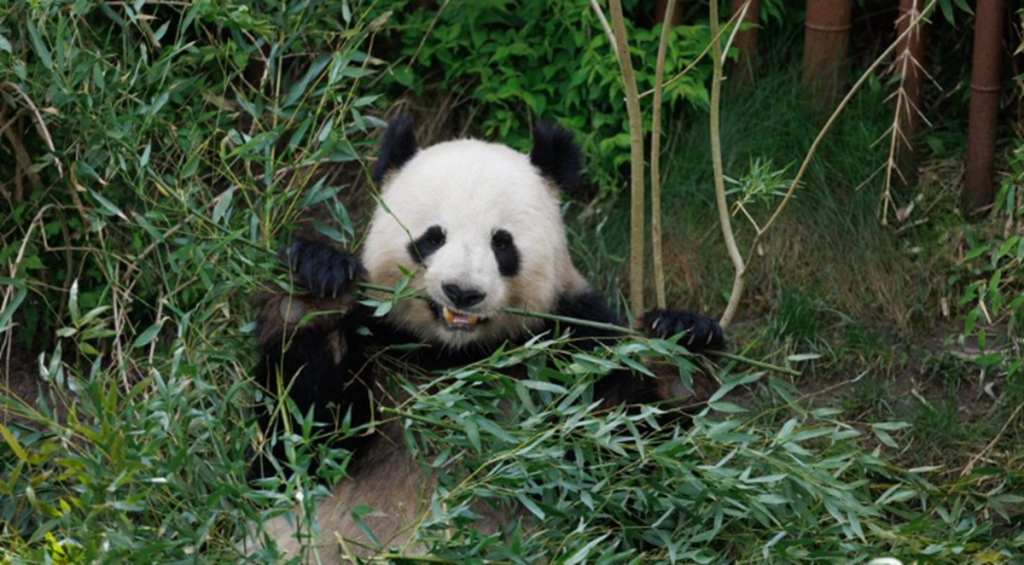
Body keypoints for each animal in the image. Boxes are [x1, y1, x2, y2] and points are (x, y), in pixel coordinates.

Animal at [250, 117, 724, 561]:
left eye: (502, 243)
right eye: (432, 236)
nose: (462, 292)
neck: (457, 355)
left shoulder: (571, 343)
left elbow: (629, 466)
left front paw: (681, 347)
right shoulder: (382, 336)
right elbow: (297, 444)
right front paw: (316, 286)